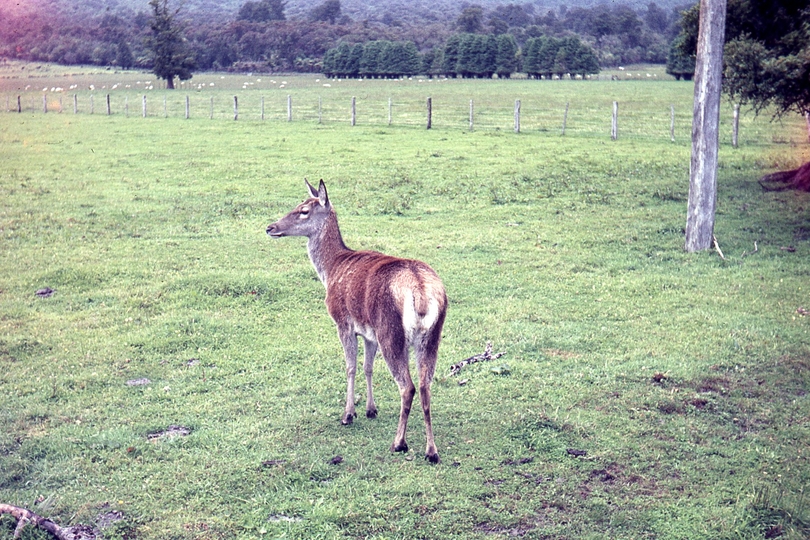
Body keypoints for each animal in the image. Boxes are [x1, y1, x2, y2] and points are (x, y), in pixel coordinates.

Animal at [266, 179, 446, 462]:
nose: (270, 227)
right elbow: (367, 367)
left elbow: (350, 366)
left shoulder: (342, 321)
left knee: (407, 387)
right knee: (425, 385)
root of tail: (420, 291)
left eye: (304, 210)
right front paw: (371, 409)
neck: (330, 270)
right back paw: (431, 451)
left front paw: (348, 414)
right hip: (431, 336)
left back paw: (399, 443)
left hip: (391, 332)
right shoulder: (369, 332)